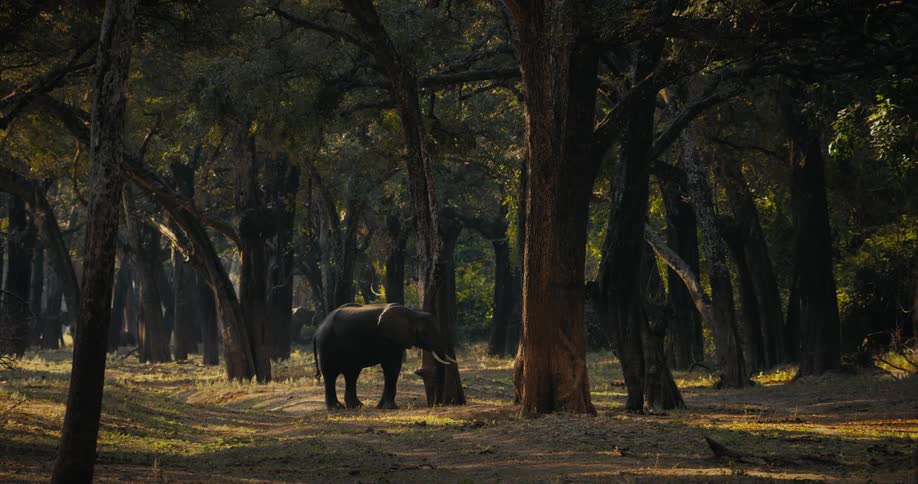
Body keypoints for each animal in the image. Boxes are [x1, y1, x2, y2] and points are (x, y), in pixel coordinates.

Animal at [312, 302, 457, 410]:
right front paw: (391, 408)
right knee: (331, 374)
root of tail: (318, 329)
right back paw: (336, 408)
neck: (412, 312)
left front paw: (381, 407)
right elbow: (392, 368)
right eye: (426, 333)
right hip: (327, 344)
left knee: (352, 374)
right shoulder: (388, 340)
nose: (436, 404)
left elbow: (391, 368)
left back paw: (357, 406)